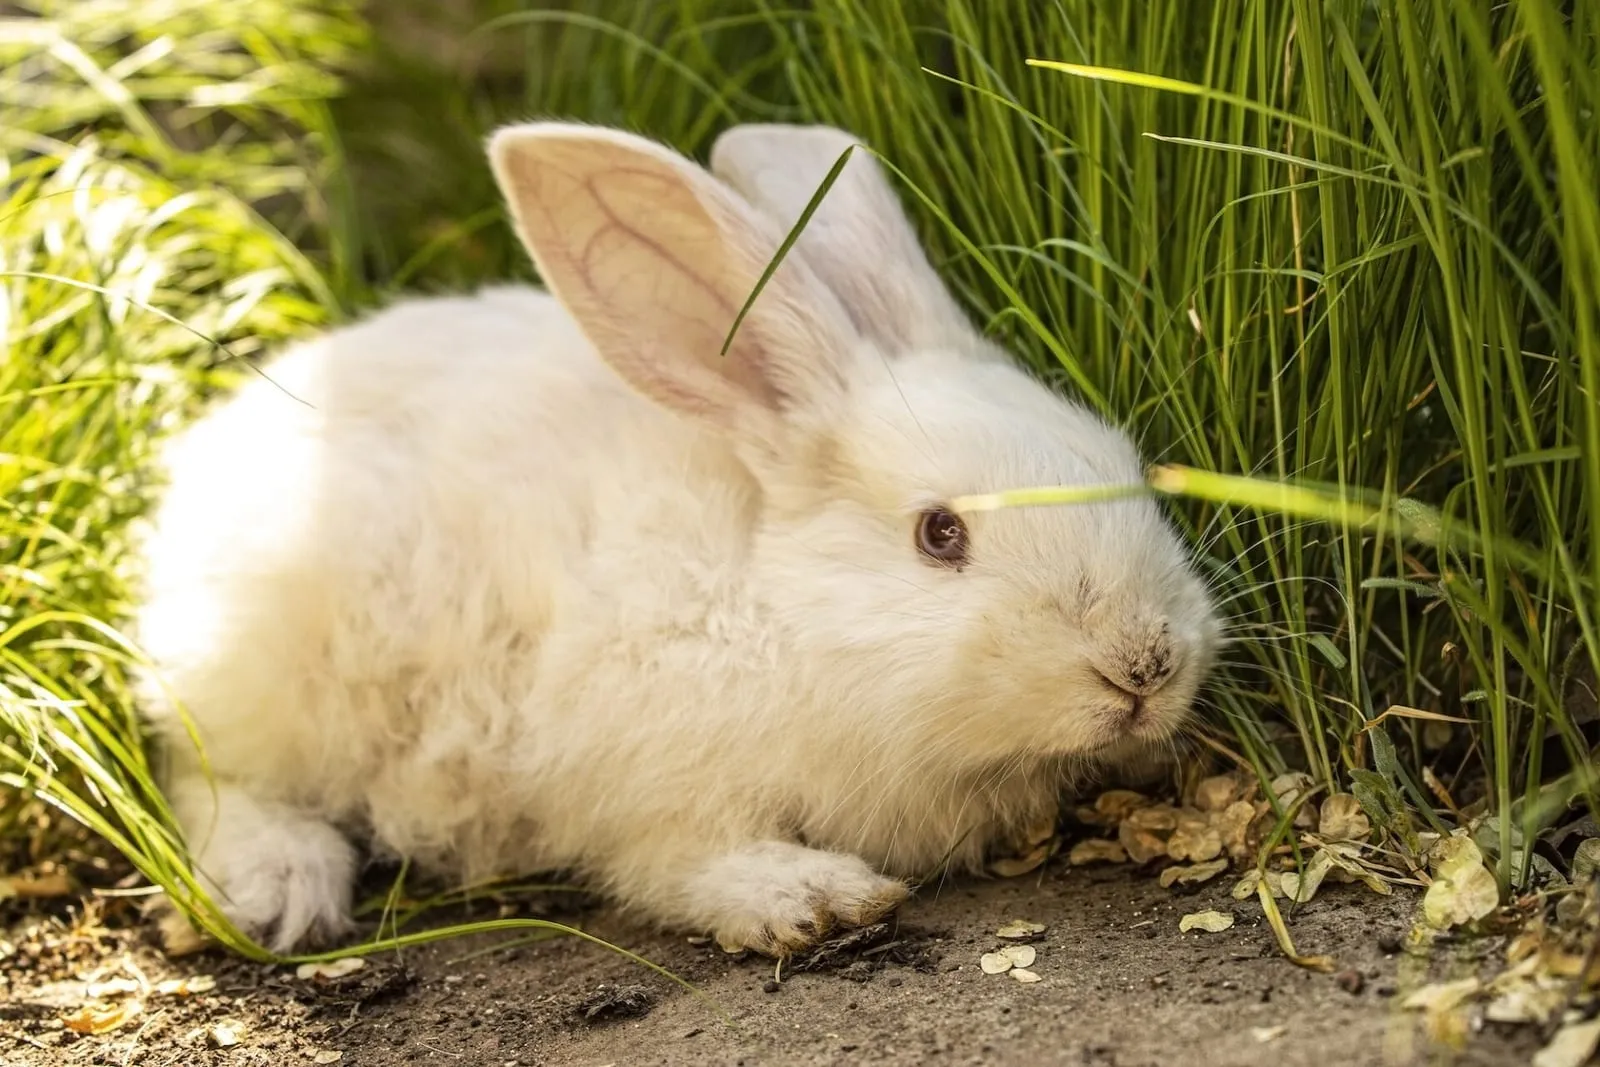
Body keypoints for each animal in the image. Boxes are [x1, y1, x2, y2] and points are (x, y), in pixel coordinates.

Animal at [134, 120, 1220, 958]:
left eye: (1125, 459)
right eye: (940, 532)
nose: (1144, 662)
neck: (779, 610)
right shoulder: (646, 786)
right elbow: (680, 863)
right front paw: (812, 898)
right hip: (288, 673)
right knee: (209, 771)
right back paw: (282, 886)